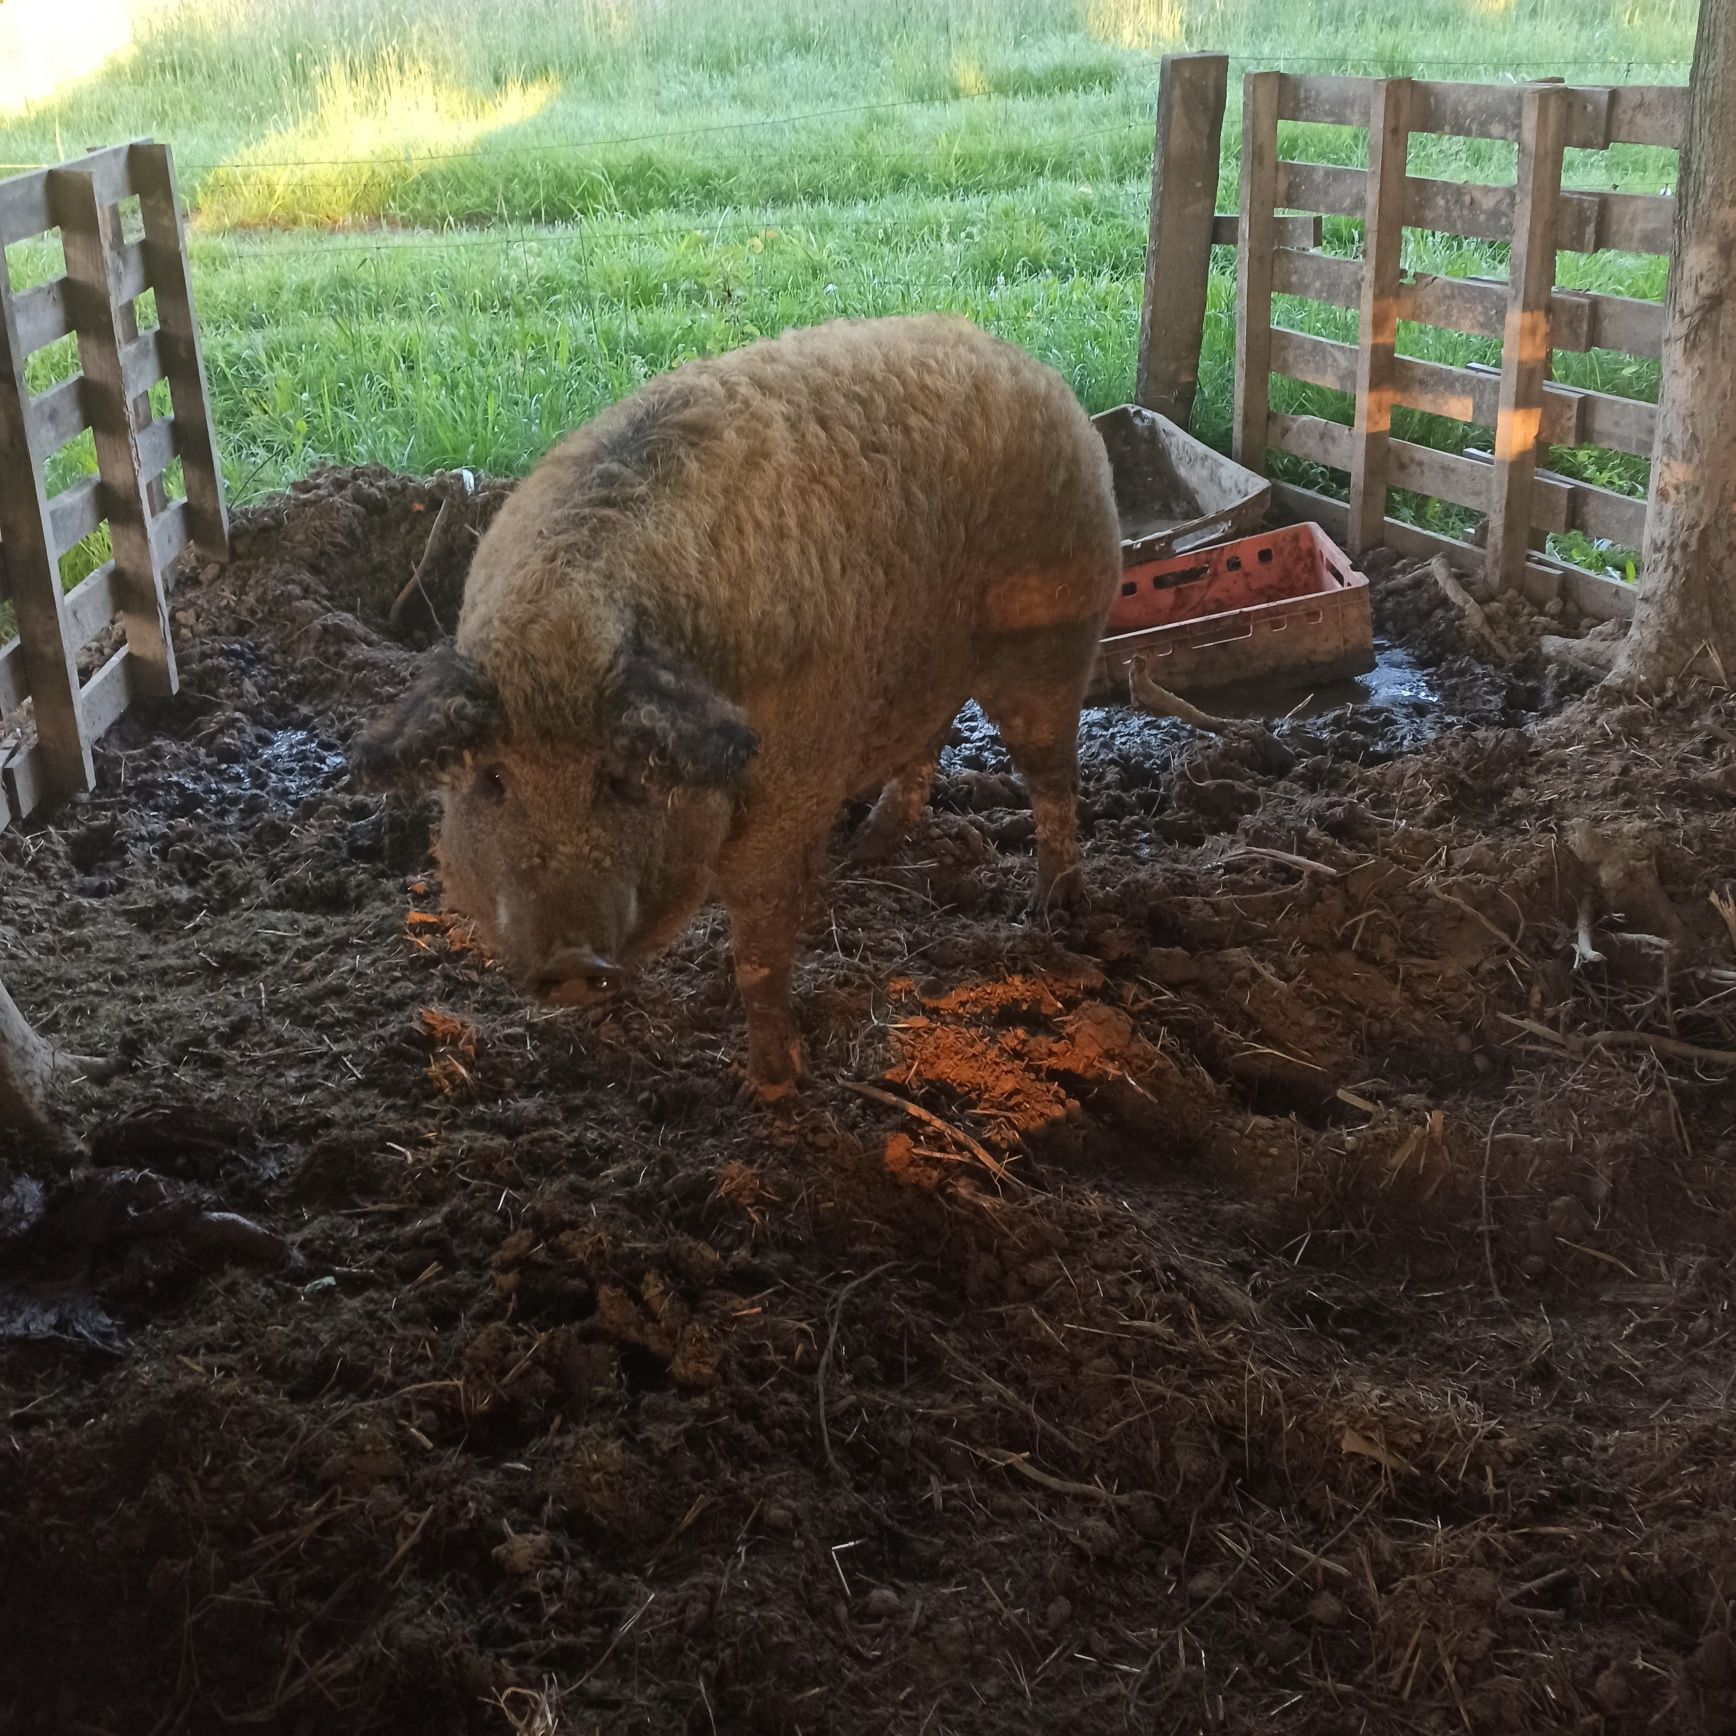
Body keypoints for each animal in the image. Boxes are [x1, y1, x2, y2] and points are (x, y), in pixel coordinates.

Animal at [352, 315, 1124, 1097]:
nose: (573, 964)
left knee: (1052, 776)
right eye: (494, 779)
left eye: (622, 778)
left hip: (1056, 636)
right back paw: (869, 851)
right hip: (927, 666)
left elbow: (759, 948)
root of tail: (1030, 368)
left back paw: (1055, 908)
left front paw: (776, 1085)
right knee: (928, 741)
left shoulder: (789, 789)